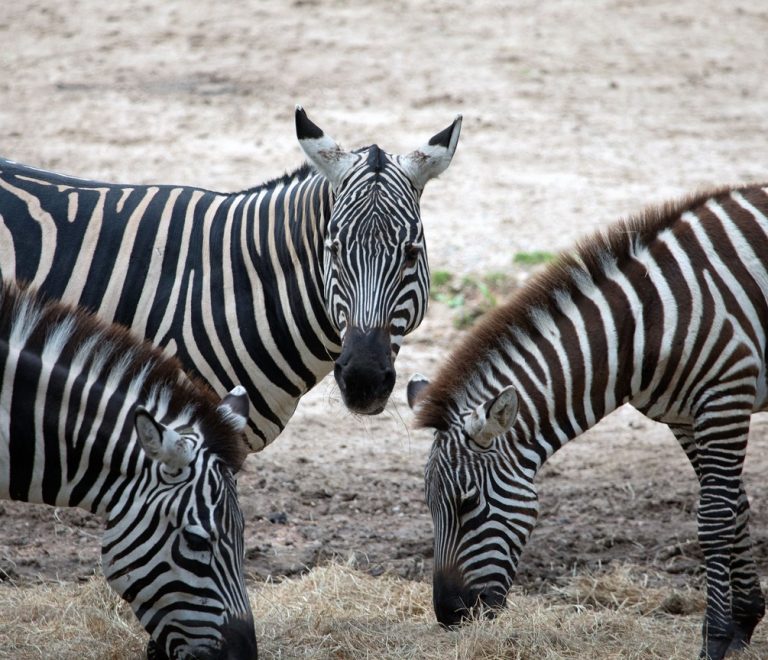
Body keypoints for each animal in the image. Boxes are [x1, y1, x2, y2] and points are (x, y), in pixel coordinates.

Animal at [408, 185, 768, 660]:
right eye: (429, 506)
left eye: (468, 504)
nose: (449, 616)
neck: (644, 325)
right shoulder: (685, 417)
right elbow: (736, 508)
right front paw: (744, 622)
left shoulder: (726, 394)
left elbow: (715, 517)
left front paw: (716, 638)